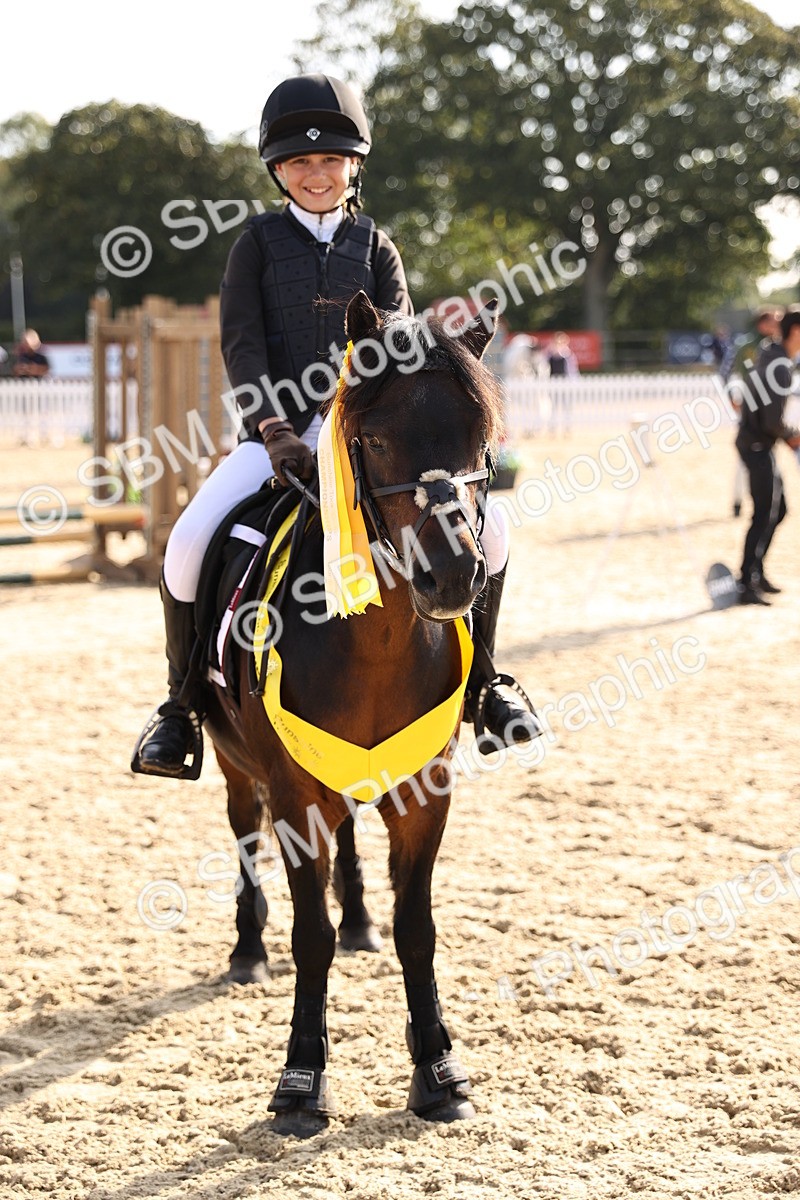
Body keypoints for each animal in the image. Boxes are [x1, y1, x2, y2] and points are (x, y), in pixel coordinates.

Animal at [203, 290, 503, 1134]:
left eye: (479, 438)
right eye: (373, 439)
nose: (451, 576)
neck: (375, 642)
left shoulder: (426, 792)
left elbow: (417, 928)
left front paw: (438, 1070)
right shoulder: (292, 794)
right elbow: (311, 936)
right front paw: (301, 1081)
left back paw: (361, 918)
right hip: (236, 766)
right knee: (244, 834)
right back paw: (247, 951)